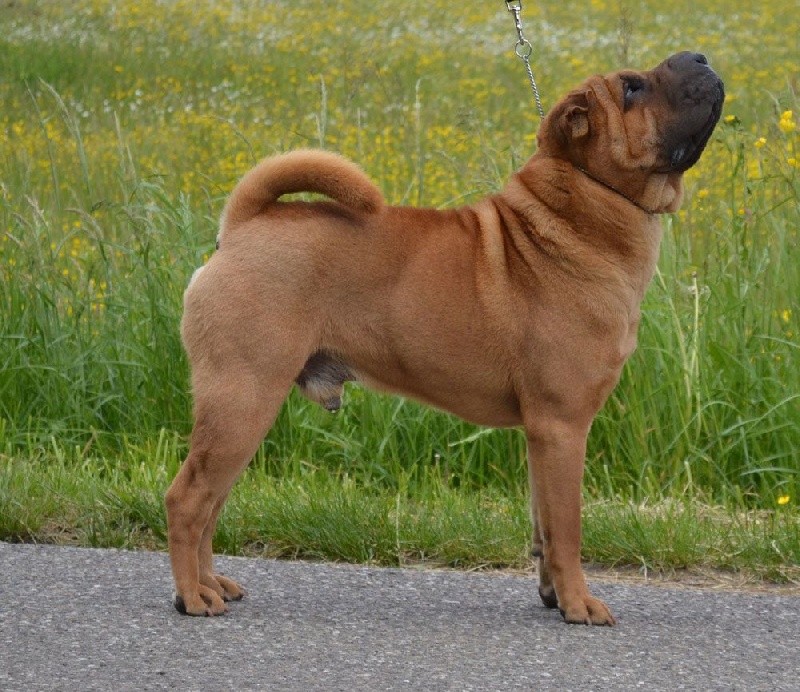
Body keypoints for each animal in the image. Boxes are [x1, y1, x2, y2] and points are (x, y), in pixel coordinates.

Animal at [166, 52, 723, 625]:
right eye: (632, 88)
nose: (698, 56)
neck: (580, 210)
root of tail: (242, 227)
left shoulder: (542, 437)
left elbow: (544, 526)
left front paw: (553, 594)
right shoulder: (563, 426)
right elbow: (567, 530)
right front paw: (578, 603)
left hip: (240, 416)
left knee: (210, 504)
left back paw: (211, 584)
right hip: (243, 400)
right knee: (187, 501)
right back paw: (192, 596)